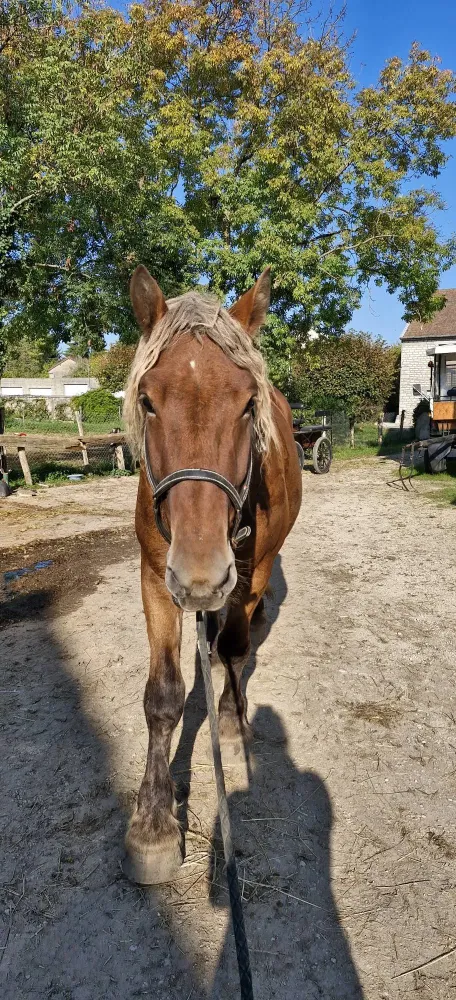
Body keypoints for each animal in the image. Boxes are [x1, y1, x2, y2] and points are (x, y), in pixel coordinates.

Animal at [122, 265, 302, 884]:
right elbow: (163, 696)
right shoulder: (155, 577)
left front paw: (228, 716)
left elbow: (234, 648)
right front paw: (153, 825)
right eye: (147, 401)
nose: (200, 573)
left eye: (248, 404)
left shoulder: (250, 568)